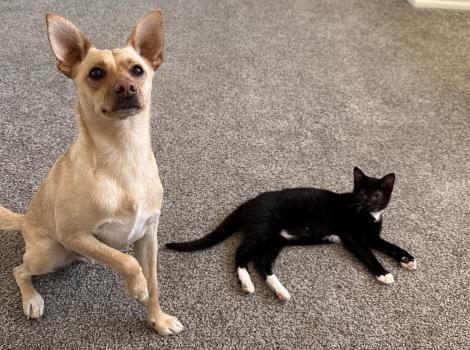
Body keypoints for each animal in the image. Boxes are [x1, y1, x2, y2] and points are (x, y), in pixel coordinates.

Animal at [0, 9, 184, 334]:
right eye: (96, 73)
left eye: (137, 70)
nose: (126, 87)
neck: (124, 153)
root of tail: (25, 220)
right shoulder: (73, 234)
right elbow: (128, 263)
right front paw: (136, 287)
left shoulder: (148, 237)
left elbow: (153, 283)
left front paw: (158, 319)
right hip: (50, 253)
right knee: (19, 269)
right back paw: (31, 299)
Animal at [167, 167, 416, 300]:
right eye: (361, 193)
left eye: (376, 196)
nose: (366, 203)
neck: (368, 216)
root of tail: (248, 203)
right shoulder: (351, 235)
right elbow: (368, 254)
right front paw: (383, 273)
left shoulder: (372, 236)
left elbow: (389, 245)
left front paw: (407, 259)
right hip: (262, 232)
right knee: (240, 254)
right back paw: (247, 284)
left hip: (276, 240)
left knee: (262, 262)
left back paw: (280, 291)